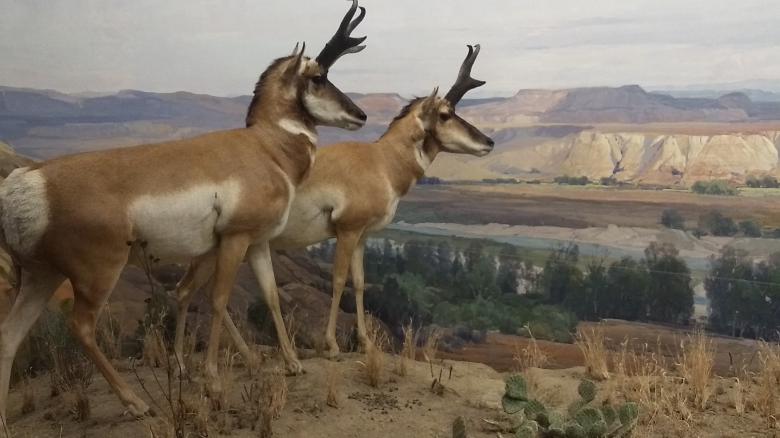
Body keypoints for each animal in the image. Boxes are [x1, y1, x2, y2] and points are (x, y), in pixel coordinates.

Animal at [0, 0, 369, 419]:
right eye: (318, 77)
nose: (361, 115)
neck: (266, 146)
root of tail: (27, 181)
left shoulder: (256, 244)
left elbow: (271, 296)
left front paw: (292, 364)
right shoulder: (234, 240)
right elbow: (219, 300)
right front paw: (212, 382)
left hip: (40, 276)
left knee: (9, 336)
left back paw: (7, 421)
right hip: (97, 274)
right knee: (81, 327)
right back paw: (136, 402)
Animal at [172, 44, 493, 366]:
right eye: (446, 114)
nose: (489, 141)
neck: (381, 162)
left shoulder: (362, 236)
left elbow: (360, 282)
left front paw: (366, 344)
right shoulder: (347, 231)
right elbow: (339, 280)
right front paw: (333, 345)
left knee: (191, 290)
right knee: (200, 292)